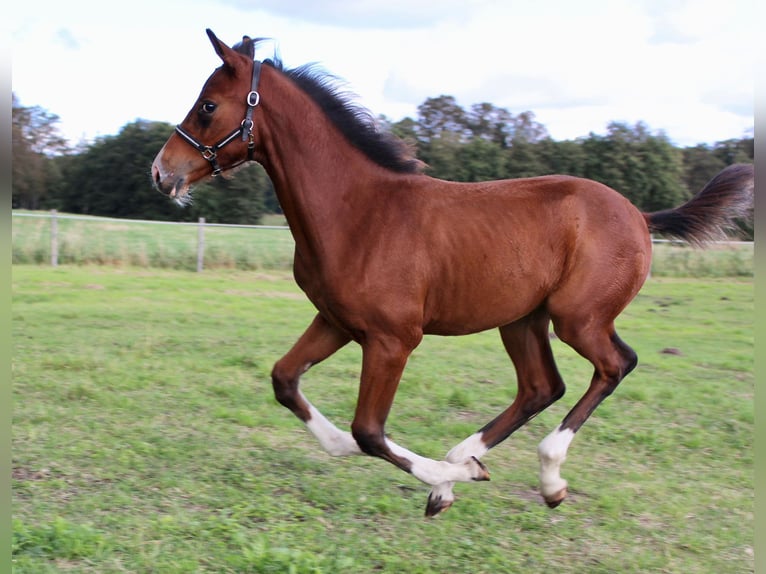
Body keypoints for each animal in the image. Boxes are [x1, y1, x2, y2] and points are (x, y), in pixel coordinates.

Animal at [152, 30, 756, 516]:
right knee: (542, 386)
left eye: (208, 105)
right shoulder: (337, 322)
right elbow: (286, 383)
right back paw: (477, 458)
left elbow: (368, 431)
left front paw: (448, 482)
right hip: (522, 320)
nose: (161, 172)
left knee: (614, 365)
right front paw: (441, 473)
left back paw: (543, 475)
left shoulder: (393, 339)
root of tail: (640, 215)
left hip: (577, 317)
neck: (358, 211)